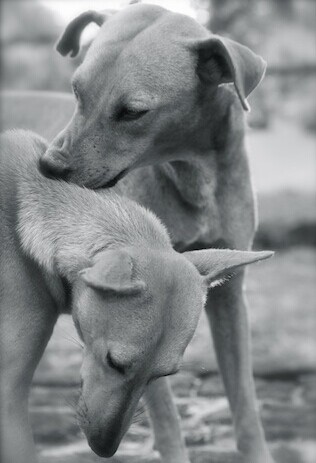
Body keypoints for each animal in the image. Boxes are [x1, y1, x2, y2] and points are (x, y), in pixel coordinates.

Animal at [2, 3, 272, 463]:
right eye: (76, 92)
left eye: (132, 112)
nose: (49, 166)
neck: (192, 177)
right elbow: (166, 421)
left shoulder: (231, 301)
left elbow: (246, 404)